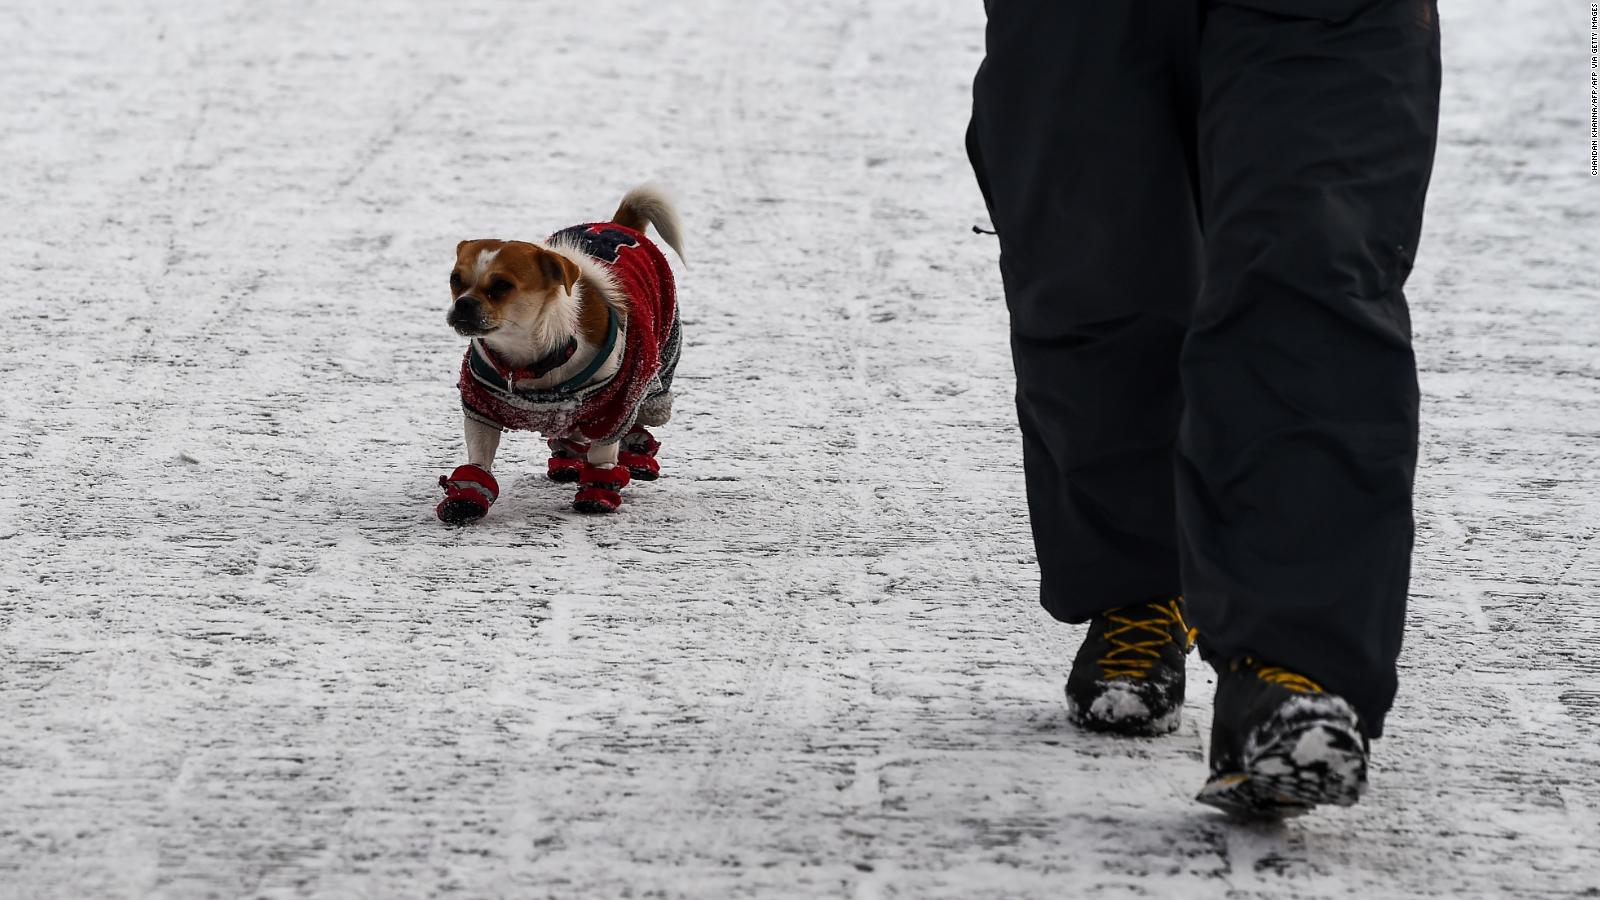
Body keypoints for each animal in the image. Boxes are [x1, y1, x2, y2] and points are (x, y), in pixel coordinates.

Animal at [435, 184, 684, 518]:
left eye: (501, 286)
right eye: (455, 280)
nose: (463, 304)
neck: (531, 358)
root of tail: (619, 224)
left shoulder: (613, 406)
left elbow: (603, 452)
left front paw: (598, 493)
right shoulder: (480, 405)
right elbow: (479, 458)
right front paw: (465, 499)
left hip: (657, 361)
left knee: (643, 410)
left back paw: (638, 455)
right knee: (572, 430)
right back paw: (566, 460)